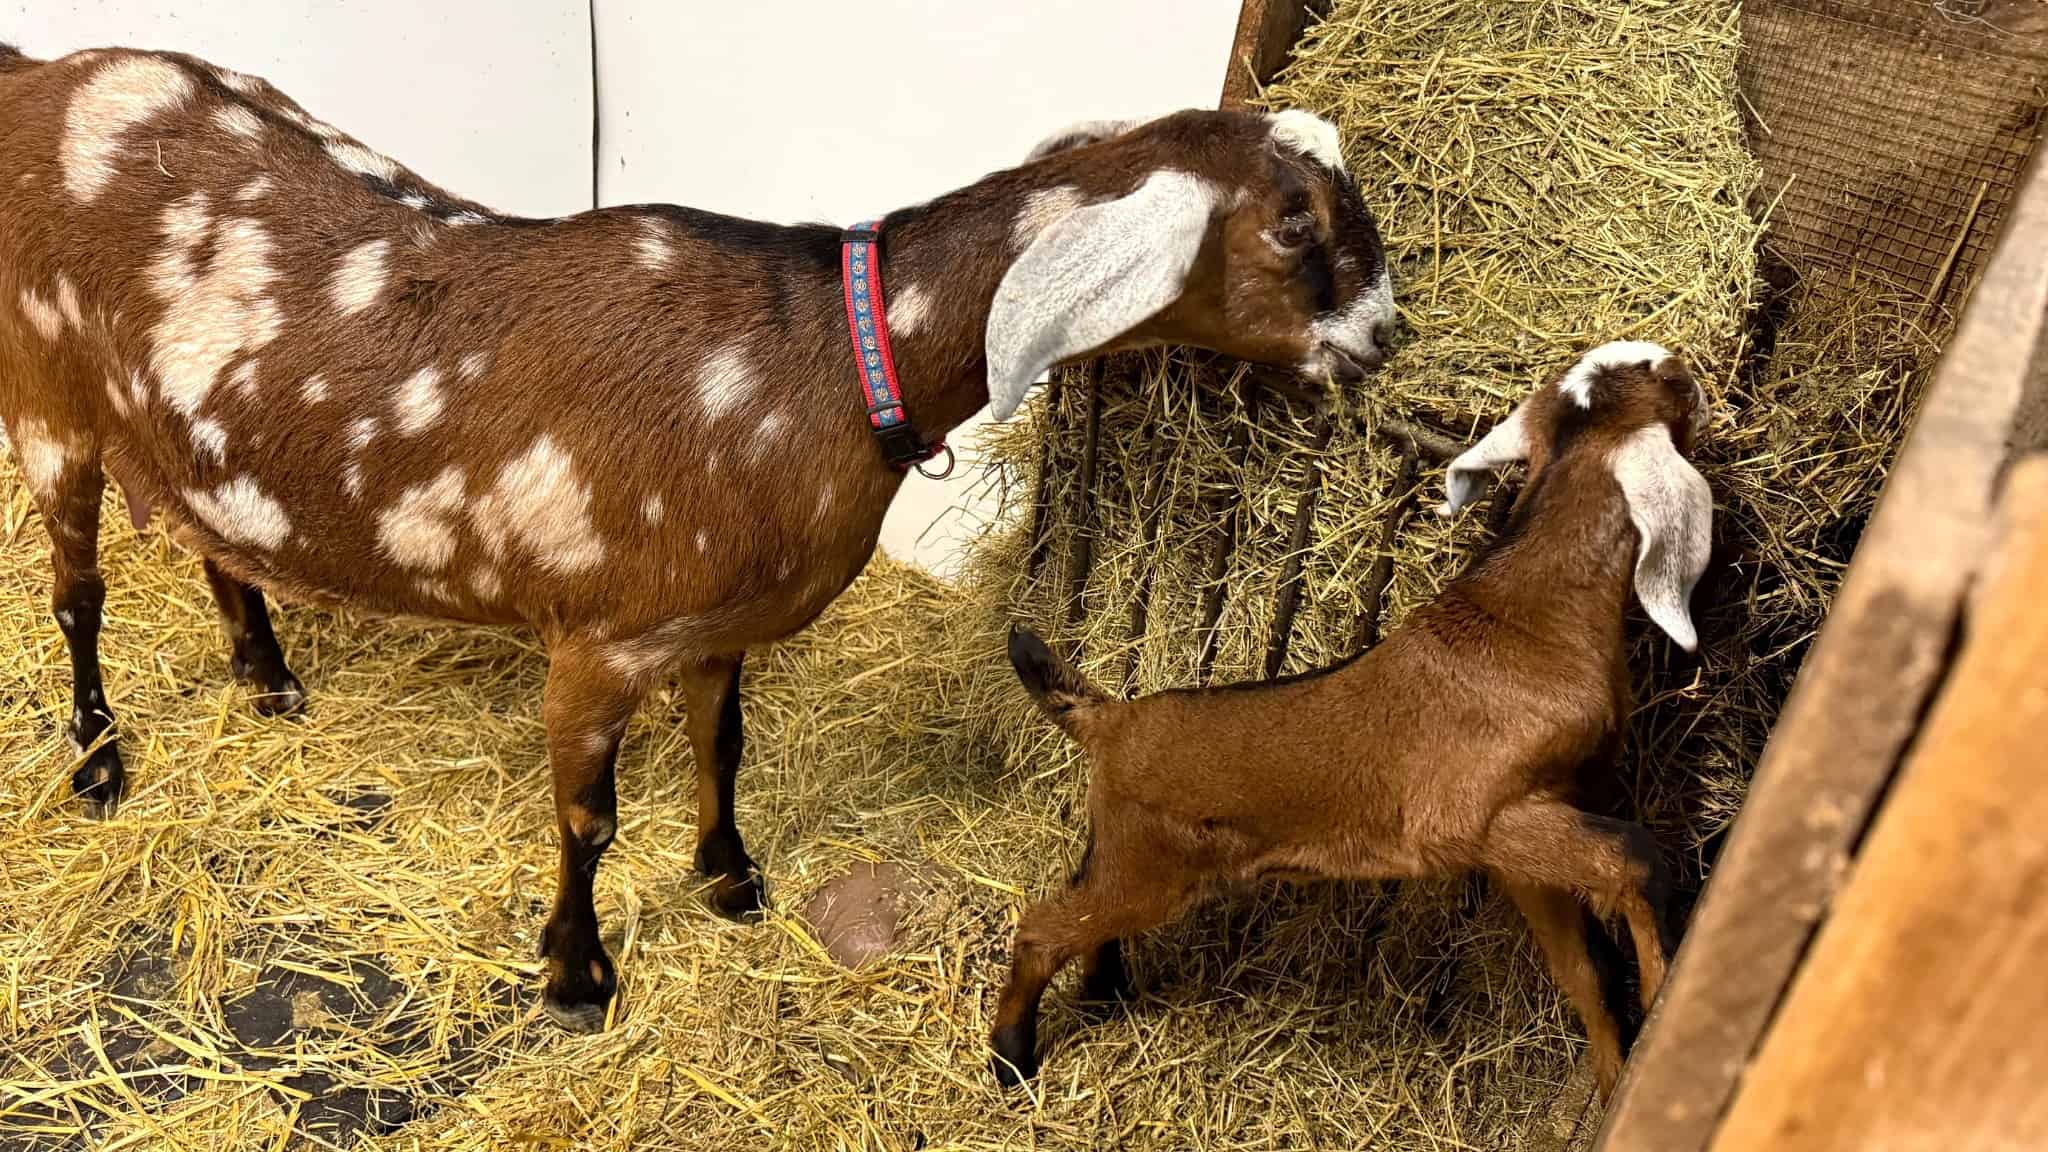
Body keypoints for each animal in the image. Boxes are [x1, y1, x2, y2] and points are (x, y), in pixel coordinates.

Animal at [0, 45, 1396, 1029]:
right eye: (1292, 222)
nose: (1383, 338)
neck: (822, 361)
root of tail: (48, 76)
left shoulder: (718, 626)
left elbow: (720, 750)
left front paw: (730, 880)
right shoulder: (596, 640)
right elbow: (587, 818)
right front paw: (576, 976)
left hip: (182, 425)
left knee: (210, 527)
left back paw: (268, 675)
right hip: (48, 399)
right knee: (76, 590)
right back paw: (98, 761)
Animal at [991, 341, 1712, 1099]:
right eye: (1670, 385)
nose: (1684, 366)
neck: (1530, 623)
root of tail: (1112, 719)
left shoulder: (1529, 839)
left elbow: (1585, 972)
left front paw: (1615, 1080)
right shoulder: (1479, 818)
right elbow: (1634, 856)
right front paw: (1663, 1004)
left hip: (1122, 853)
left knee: (1079, 912)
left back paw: (1103, 993)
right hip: (1150, 866)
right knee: (1040, 929)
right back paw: (1011, 1057)